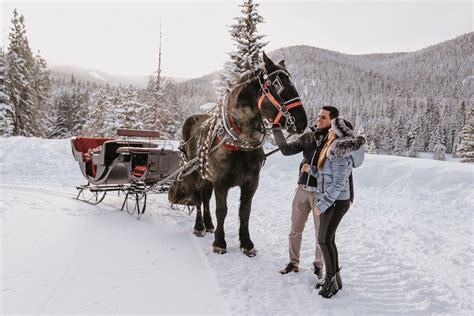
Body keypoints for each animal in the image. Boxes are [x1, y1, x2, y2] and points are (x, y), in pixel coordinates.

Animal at [169, 52, 308, 256]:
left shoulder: (251, 182)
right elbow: (222, 210)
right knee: (198, 200)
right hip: (195, 174)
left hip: (206, 177)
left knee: (205, 199)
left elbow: (244, 212)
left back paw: (209, 225)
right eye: (279, 86)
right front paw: (220, 242)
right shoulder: (220, 182)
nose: (302, 122)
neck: (239, 143)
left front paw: (247, 243)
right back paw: (200, 226)